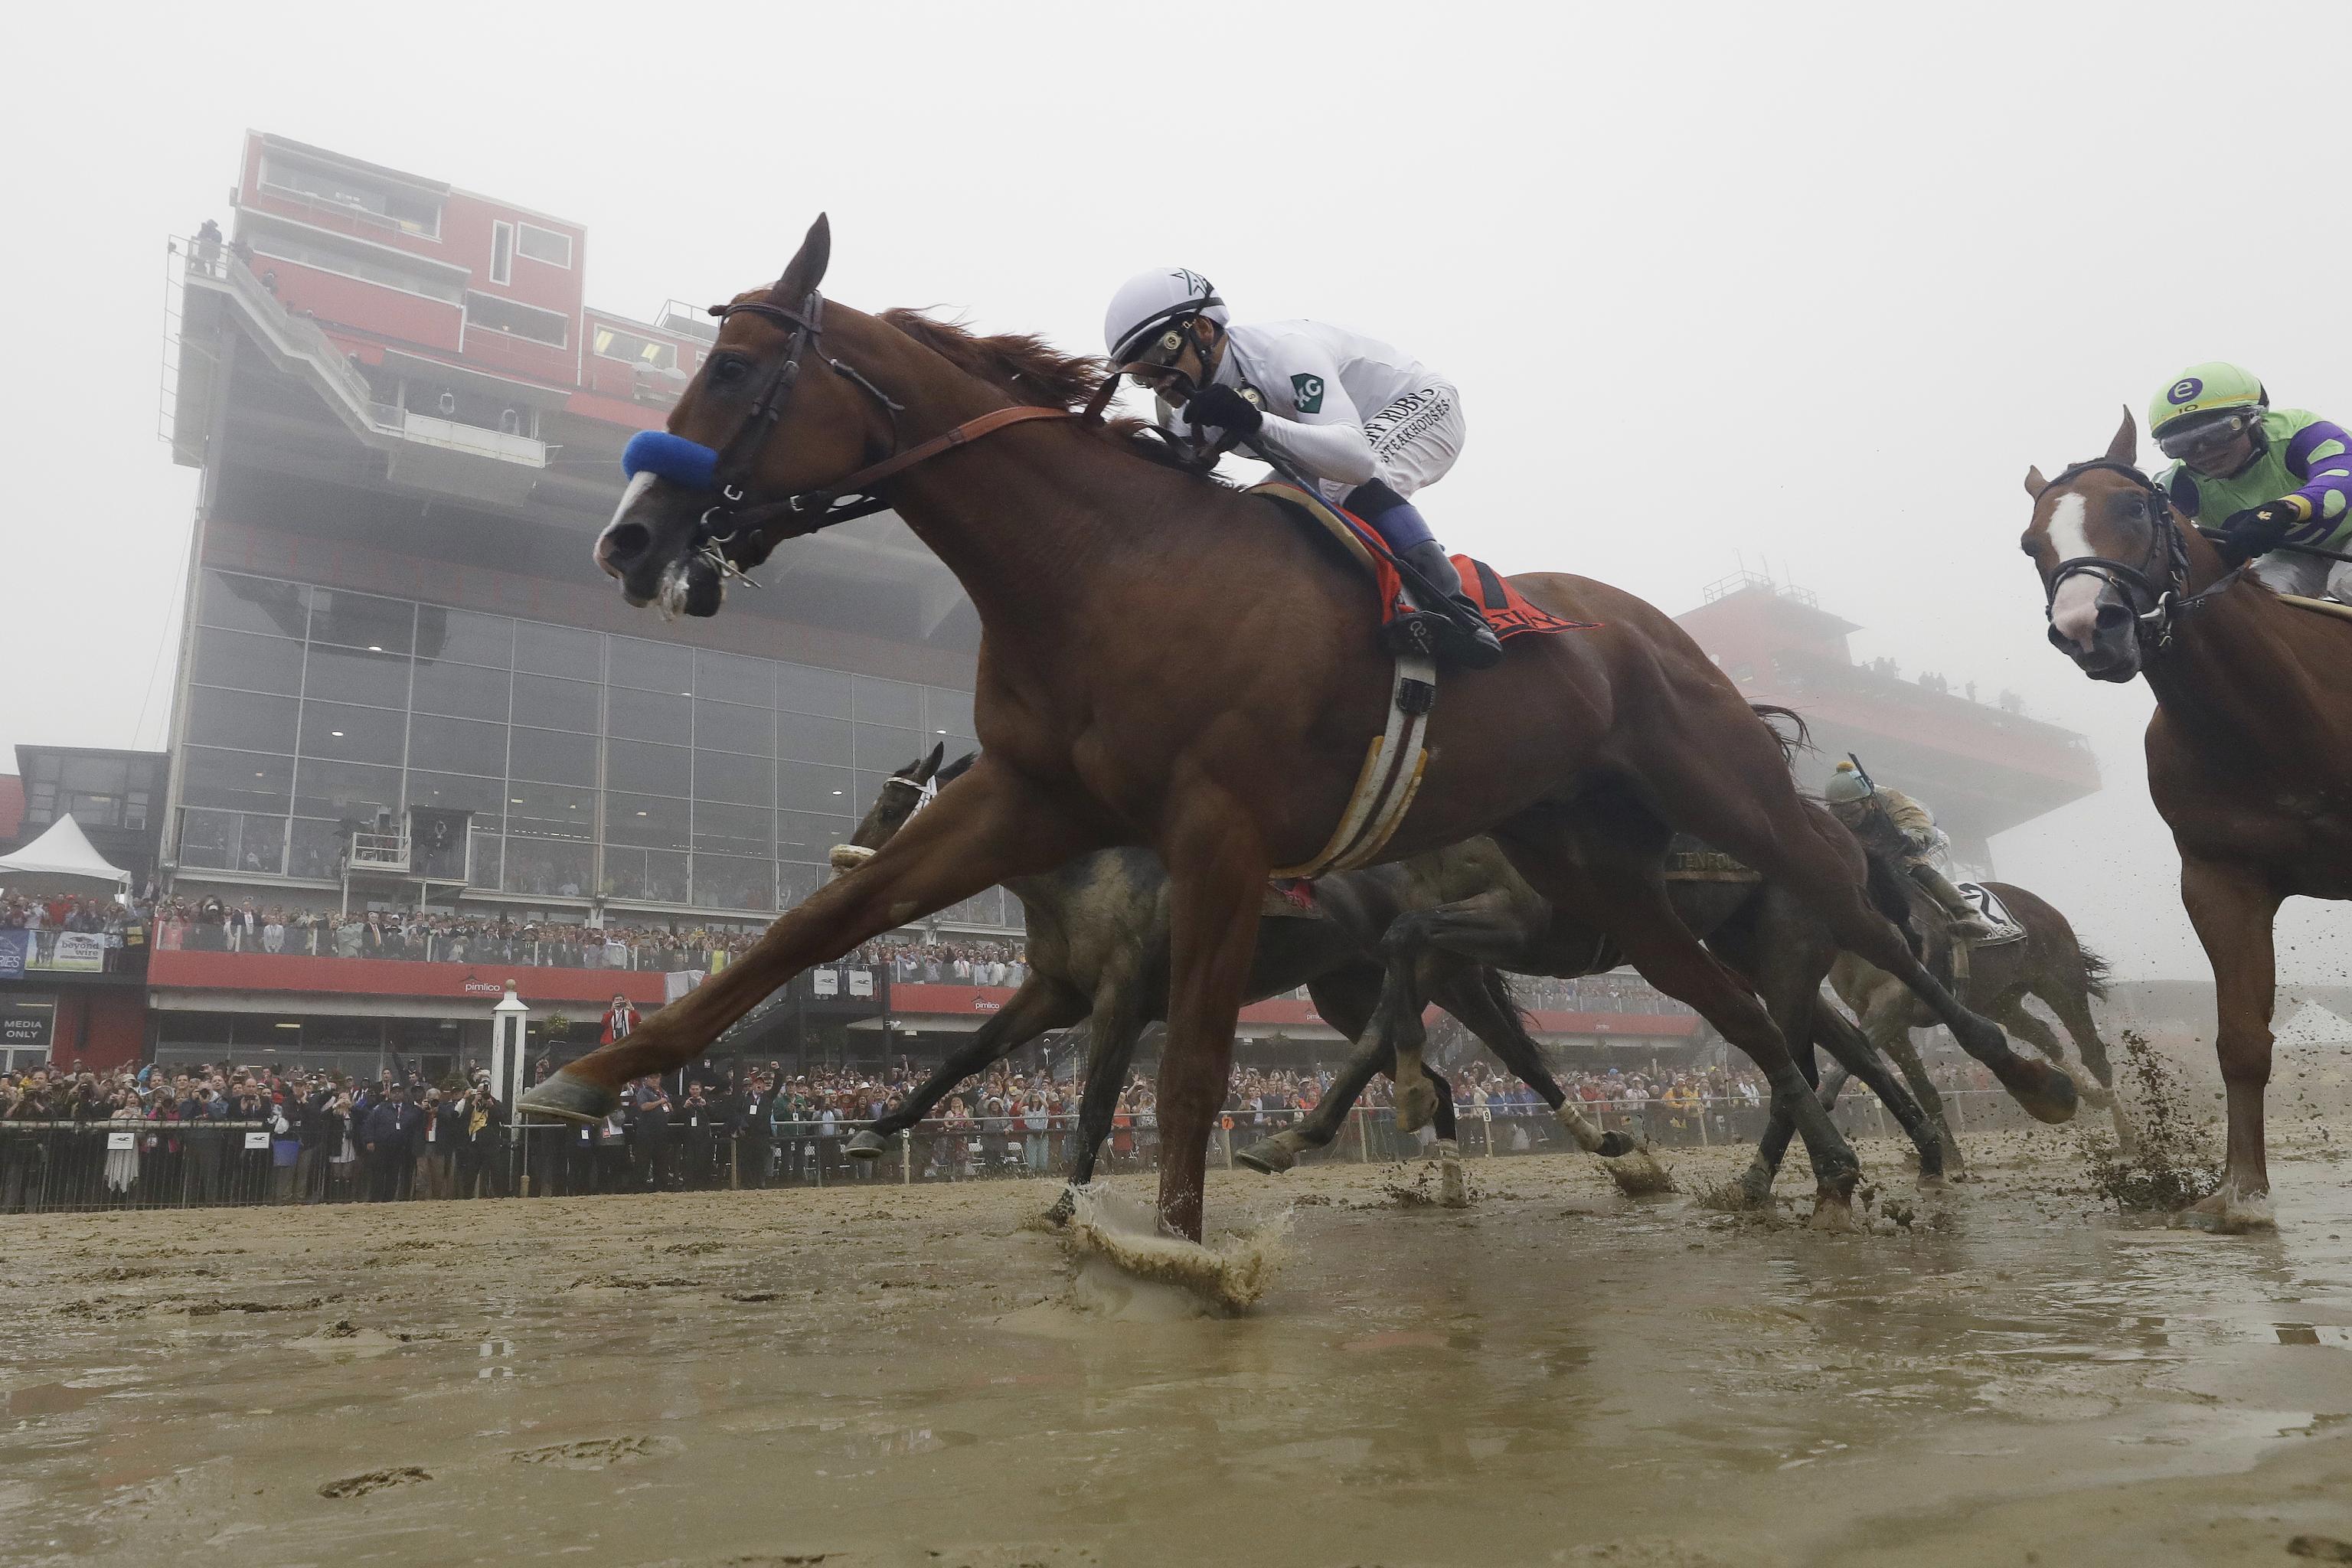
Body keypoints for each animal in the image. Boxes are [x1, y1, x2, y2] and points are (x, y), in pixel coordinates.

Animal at [524, 214, 2069, 1241]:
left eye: (734, 375)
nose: (628, 537)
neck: (1106, 563)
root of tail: (1655, 629)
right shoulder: (1031, 796)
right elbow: (812, 929)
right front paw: (585, 1076)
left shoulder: (1216, 828)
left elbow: (1192, 1061)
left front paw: (1177, 1245)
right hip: (1600, 870)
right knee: (1741, 1005)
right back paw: (1817, 1168)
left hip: (1725, 791)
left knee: (1856, 919)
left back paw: (2024, 1073)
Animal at [2022, 411, 2352, 1231]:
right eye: (2031, 544)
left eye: (2135, 507)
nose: (2088, 625)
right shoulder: (2218, 878)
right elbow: (2240, 1041)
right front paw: (2240, 1194)